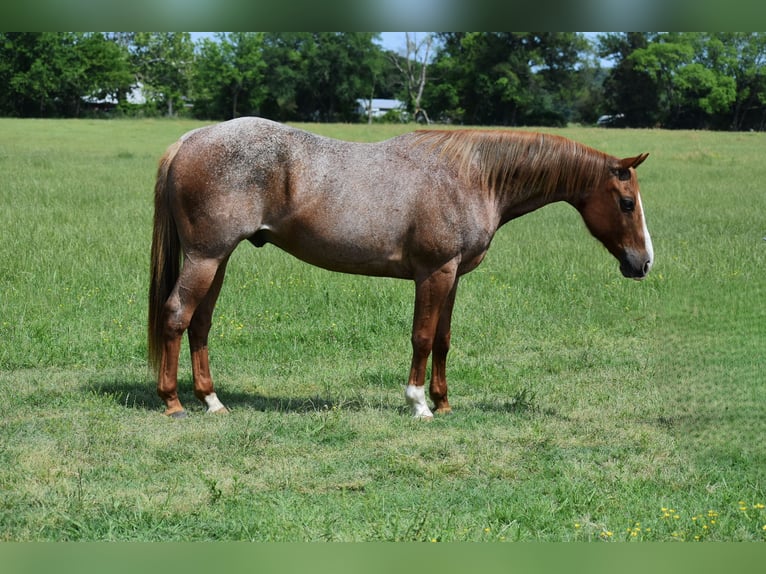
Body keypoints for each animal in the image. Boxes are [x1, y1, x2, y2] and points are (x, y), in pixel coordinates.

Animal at [148, 117, 653, 419]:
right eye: (627, 203)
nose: (643, 262)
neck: (471, 177)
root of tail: (188, 141)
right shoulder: (434, 273)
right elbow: (423, 338)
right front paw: (418, 404)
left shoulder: (452, 276)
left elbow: (444, 340)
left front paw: (444, 403)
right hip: (206, 256)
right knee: (176, 315)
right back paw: (172, 402)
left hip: (218, 259)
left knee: (200, 323)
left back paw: (212, 401)